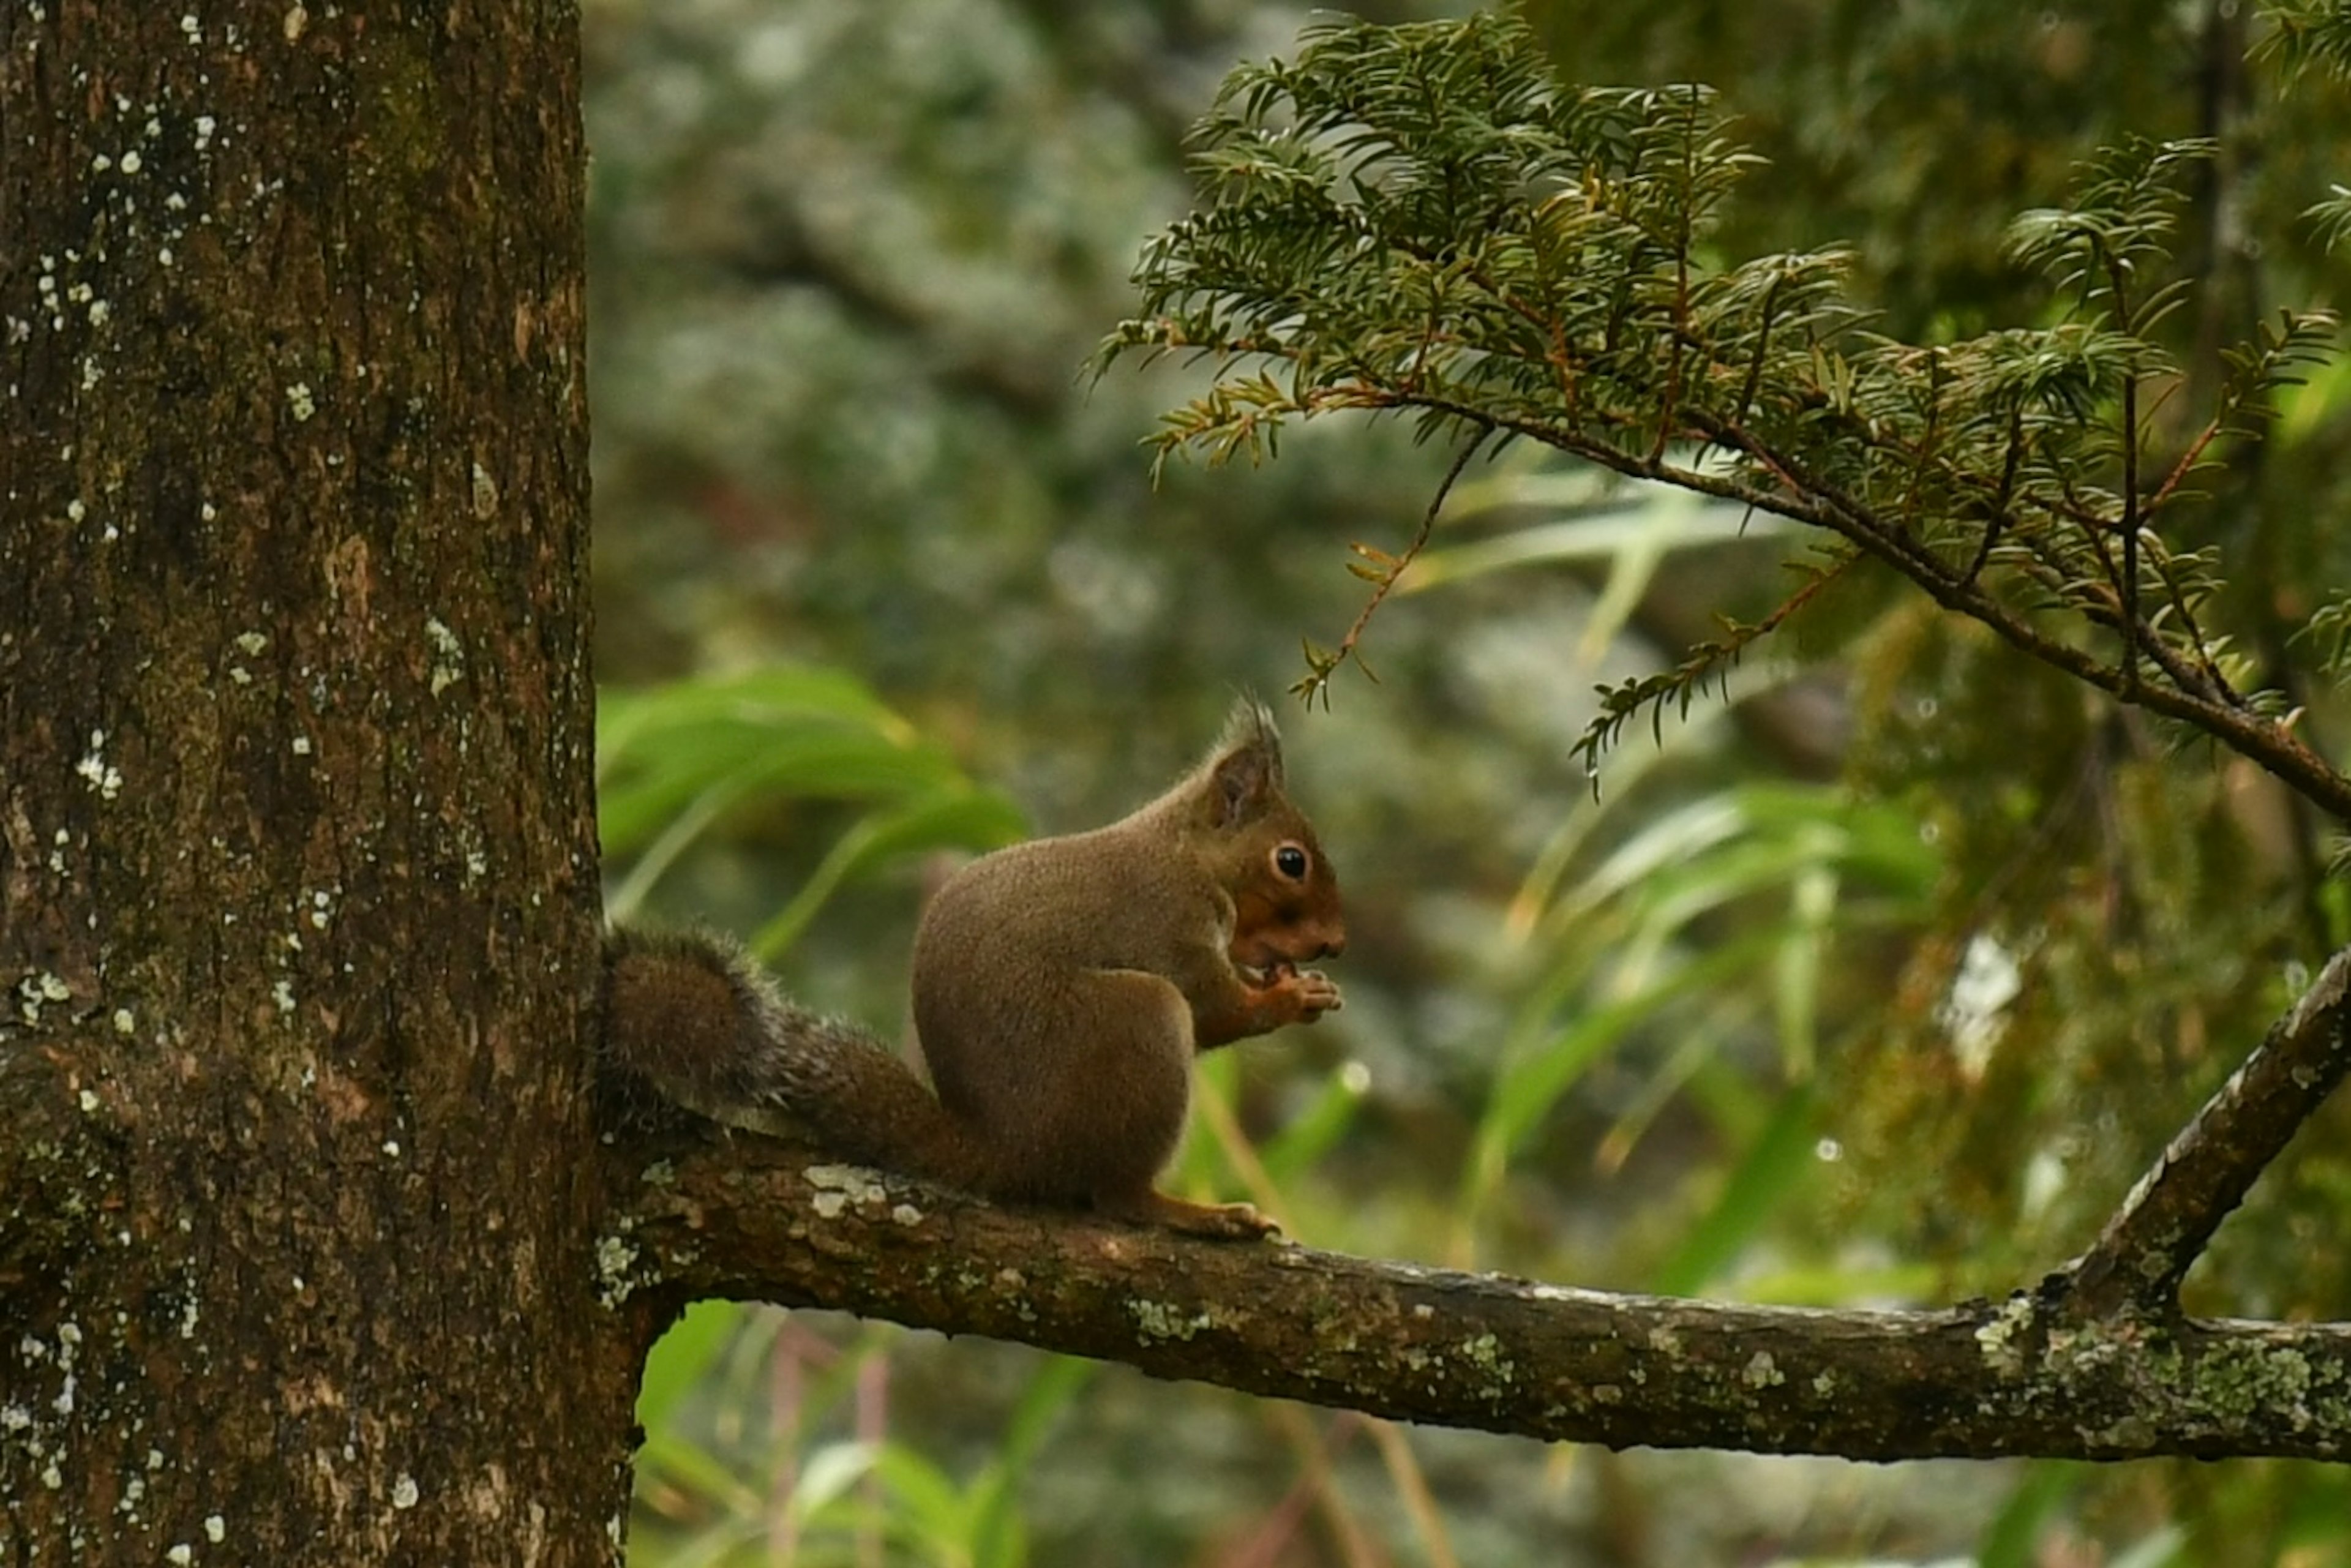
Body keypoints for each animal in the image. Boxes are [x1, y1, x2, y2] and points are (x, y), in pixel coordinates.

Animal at [597, 700, 1354, 1241]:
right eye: (1291, 861)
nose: (1336, 943)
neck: (1189, 855)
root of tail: (1007, 1152)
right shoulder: (1168, 928)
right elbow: (1215, 1010)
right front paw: (1292, 998)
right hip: (1138, 1021)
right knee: (1117, 1194)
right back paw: (1197, 1215)